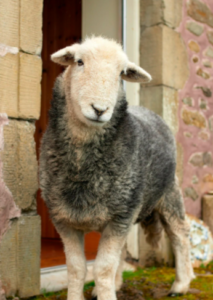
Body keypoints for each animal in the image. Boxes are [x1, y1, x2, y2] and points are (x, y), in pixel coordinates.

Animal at [39, 37, 195, 300]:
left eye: (121, 73)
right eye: (79, 62)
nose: (99, 109)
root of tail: (149, 111)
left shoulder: (120, 216)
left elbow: (102, 268)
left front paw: (107, 289)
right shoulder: (63, 218)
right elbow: (77, 268)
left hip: (168, 192)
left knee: (180, 235)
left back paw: (180, 285)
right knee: (123, 251)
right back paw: (117, 283)